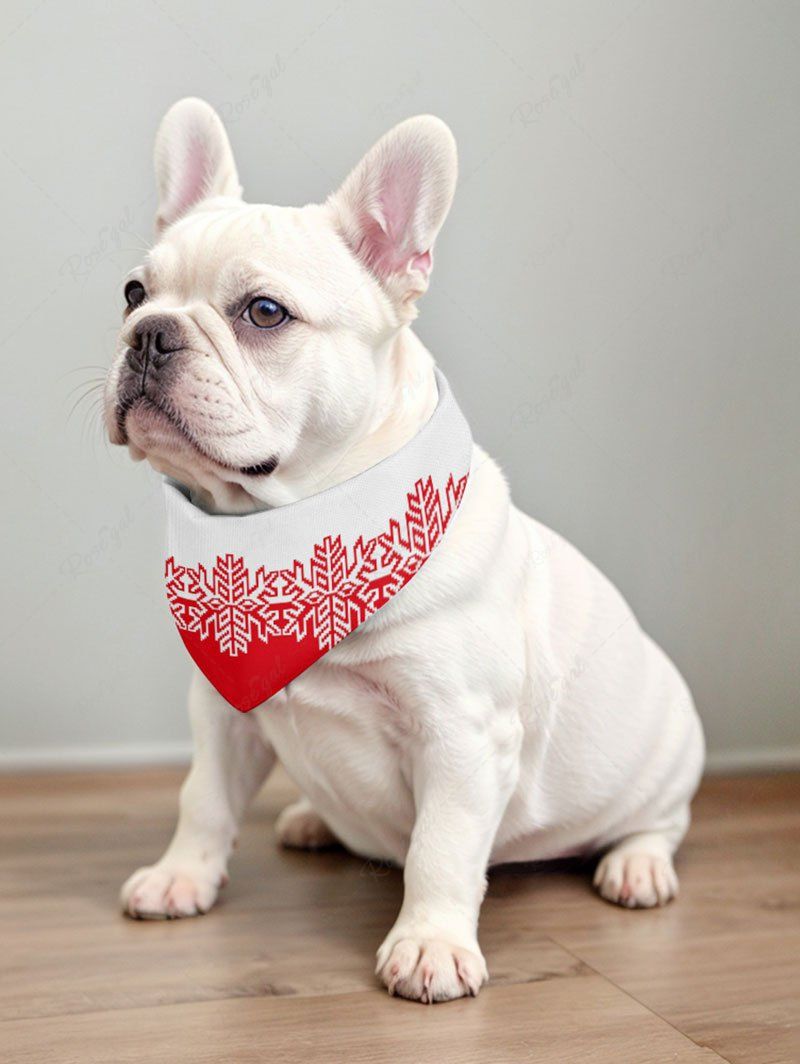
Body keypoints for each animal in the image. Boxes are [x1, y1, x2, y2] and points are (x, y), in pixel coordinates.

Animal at [103, 100, 702, 1004]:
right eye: (135, 293)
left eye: (264, 313)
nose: (149, 334)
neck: (287, 536)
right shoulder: (223, 713)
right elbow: (202, 798)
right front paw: (182, 878)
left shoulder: (460, 735)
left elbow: (441, 849)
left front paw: (429, 945)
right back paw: (313, 819)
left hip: (665, 746)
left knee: (658, 821)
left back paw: (636, 867)